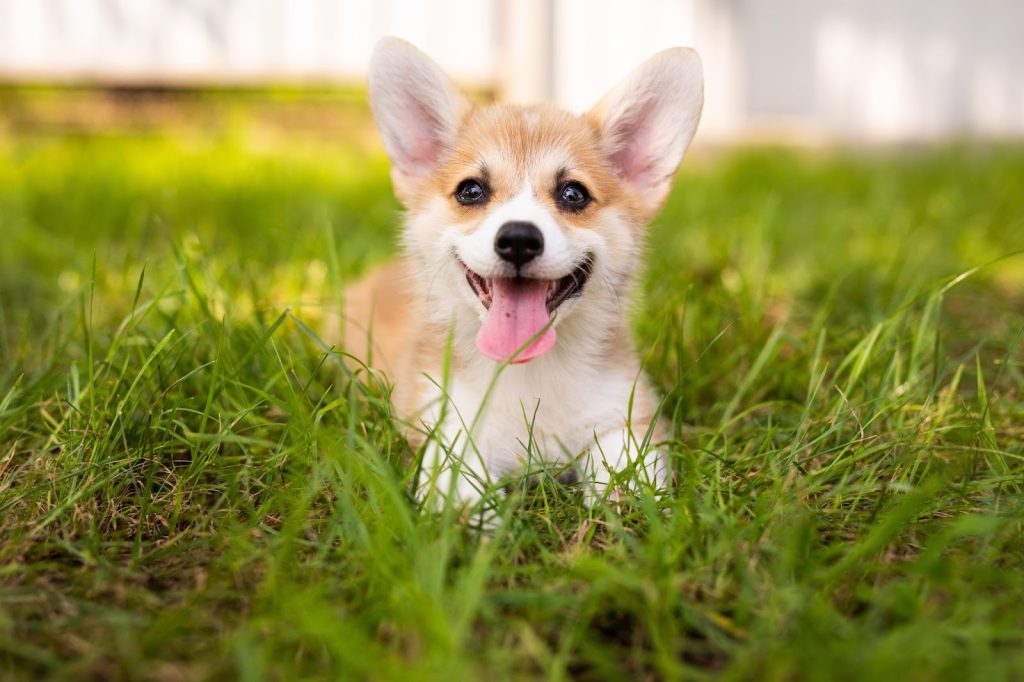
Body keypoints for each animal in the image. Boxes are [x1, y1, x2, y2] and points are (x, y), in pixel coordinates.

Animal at [344, 37, 704, 512]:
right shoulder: (443, 416)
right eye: (471, 190)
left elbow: (626, 461)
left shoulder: (623, 409)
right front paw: (470, 514)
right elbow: (456, 470)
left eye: (573, 194)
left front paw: (625, 499)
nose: (518, 239)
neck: (529, 374)